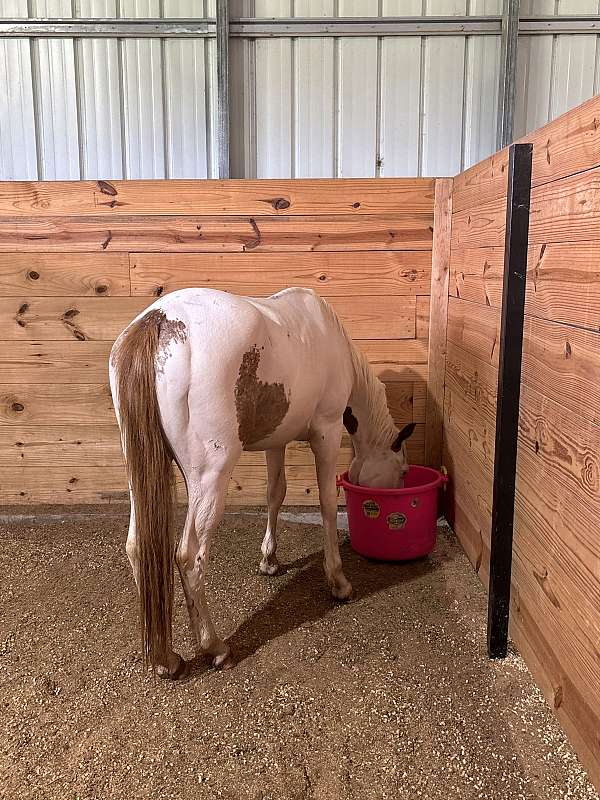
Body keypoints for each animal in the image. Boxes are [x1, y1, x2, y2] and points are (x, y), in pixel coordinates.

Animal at [109, 286, 416, 679]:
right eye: (403, 470)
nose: (394, 496)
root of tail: (159, 319)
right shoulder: (328, 432)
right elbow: (327, 504)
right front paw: (338, 581)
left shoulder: (276, 441)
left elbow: (275, 494)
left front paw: (269, 560)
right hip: (210, 477)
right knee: (189, 557)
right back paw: (215, 648)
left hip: (138, 471)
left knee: (136, 547)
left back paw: (165, 659)